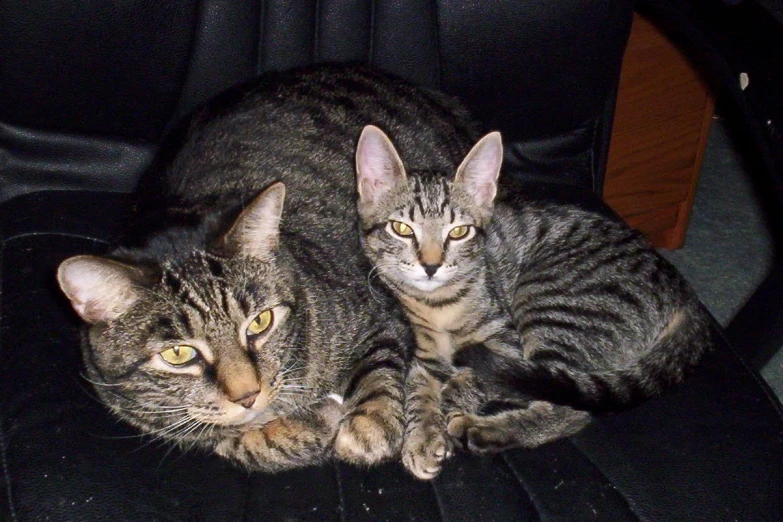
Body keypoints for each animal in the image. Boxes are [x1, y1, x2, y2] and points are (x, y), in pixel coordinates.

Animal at [56, 63, 478, 474]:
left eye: (260, 323)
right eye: (178, 355)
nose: (248, 395)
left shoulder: (380, 314)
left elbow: (379, 372)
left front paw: (366, 427)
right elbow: (247, 443)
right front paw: (310, 422)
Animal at [358, 125, 712, 476]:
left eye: (458, 232)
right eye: (401, 228)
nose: (431, 266)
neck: (439, 305)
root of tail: (681, 287)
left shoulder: (506, 340)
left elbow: (476, 376)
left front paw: (453, 396)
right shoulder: (423, 354)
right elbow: (417, 391)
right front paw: (423, 436)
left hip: (551, 303)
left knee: (567, 403)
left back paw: (484, 429)